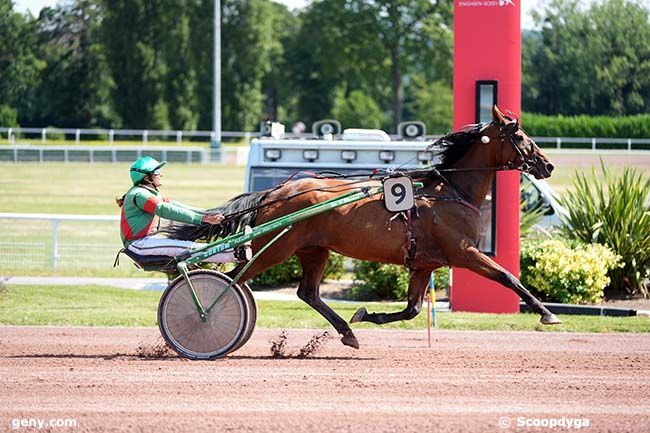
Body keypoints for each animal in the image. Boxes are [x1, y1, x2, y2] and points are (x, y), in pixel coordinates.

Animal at [170, 104, 560, 348]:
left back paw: (347, 331)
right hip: (278, 248)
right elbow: (508, 277)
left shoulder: (425, 263)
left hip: (314, 250)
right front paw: (546, 313)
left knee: (307, 293)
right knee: (235, 280)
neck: (450, 191)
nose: (548, 165)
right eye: (520, 136)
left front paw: (365, 314)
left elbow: (412, 309)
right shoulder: (464, 253)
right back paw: (202, 316)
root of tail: (277, 191)